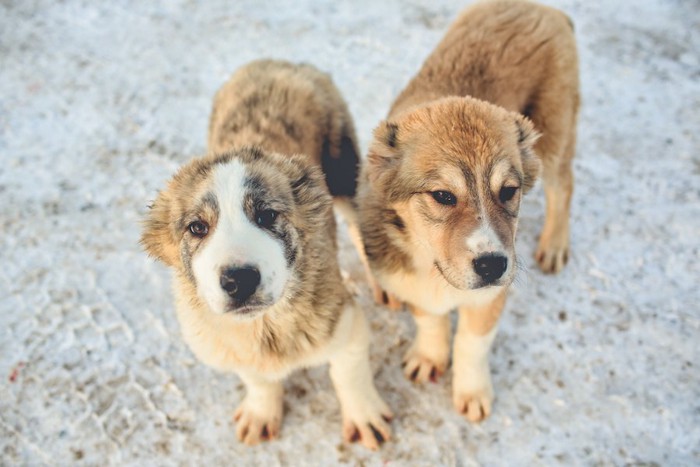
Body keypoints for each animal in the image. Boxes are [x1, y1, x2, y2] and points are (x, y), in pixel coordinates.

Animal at [141, 59, 394, 450]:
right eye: (197, 227)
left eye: (267, 215)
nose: (239, 279)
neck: (265, 327)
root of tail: (277, 63)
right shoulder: (234, 348)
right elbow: (258, 379)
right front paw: (262, 411)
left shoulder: (346, 322)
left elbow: (348, 373)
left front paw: (364, 415)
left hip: (342, 171)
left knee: (358, 225)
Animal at [356, 0, 580, 424]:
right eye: (443, 196)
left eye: (508, 192)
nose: (492, 265)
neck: (438, 272)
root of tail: (543, 8)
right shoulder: (411, 283)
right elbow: (430, 321)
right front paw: (430, 356)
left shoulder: (490, 296)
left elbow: (471, 343)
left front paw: (472, 390)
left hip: (555, 135)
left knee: (564, 186)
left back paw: (555, 244)